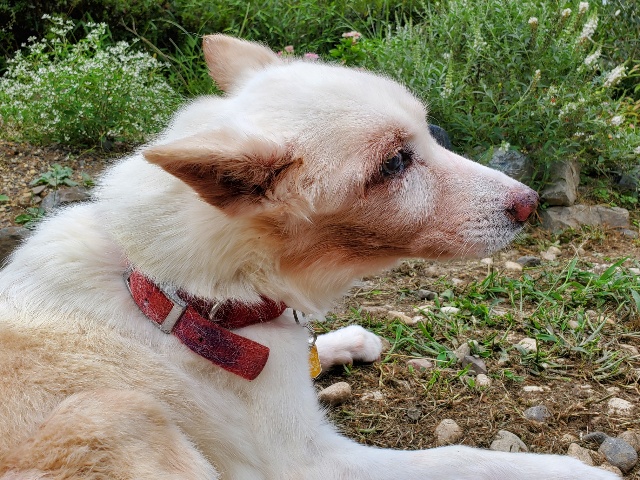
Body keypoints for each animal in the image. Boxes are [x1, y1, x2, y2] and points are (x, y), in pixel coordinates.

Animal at [0, 35, 616, 479]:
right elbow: (461, 458)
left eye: (427, 133)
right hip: (114, 414)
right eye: (394, 164)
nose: (529, 203)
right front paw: (572, 472)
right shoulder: (311, 462)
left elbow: (314, 348)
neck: (186, 299)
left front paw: (343, 342)